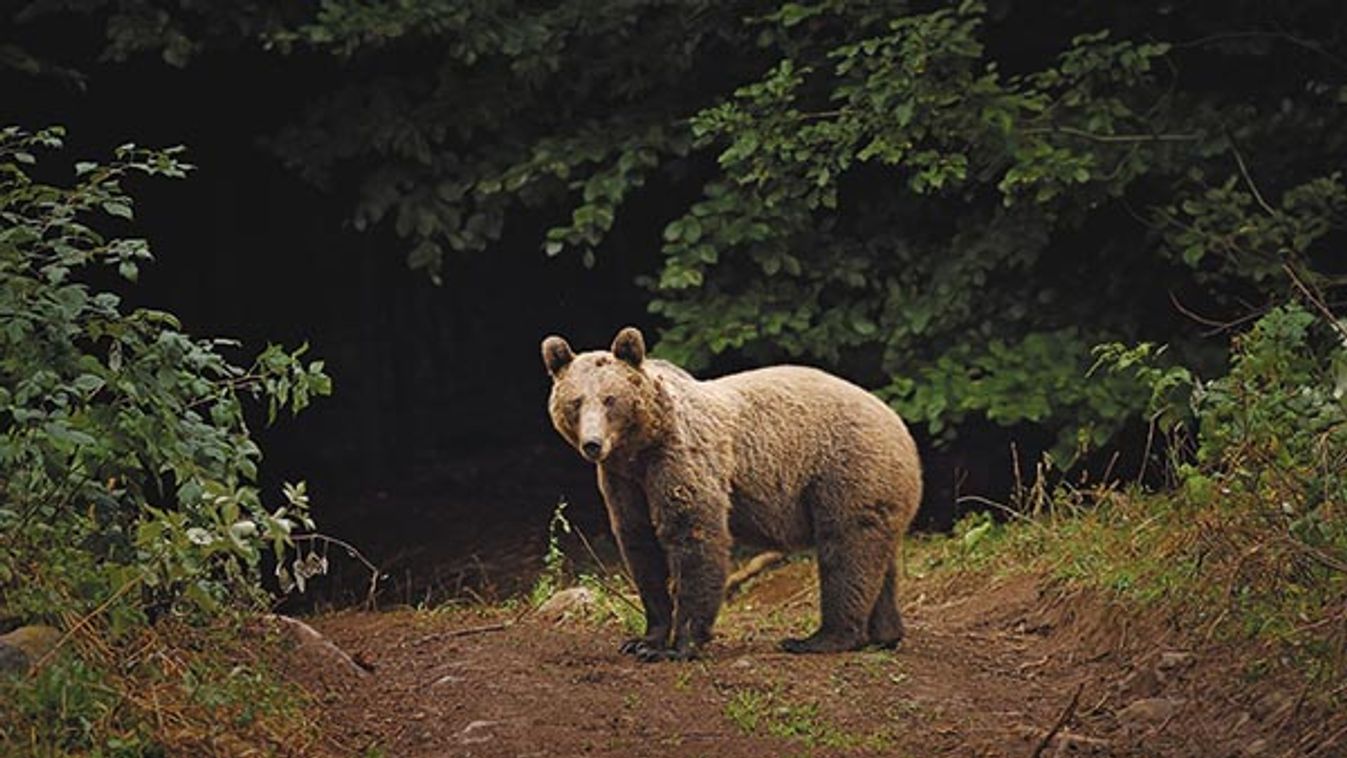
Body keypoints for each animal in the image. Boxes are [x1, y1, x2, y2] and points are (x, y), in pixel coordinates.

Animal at [541, 329, 921, 662]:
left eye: (610, 399)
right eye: (576, 401)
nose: (593, 444)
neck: (640, 446)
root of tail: (899, 425)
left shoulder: (680, 457)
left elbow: (694, 535)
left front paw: (678, 645)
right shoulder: (624, 480)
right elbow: (640, 544)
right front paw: (643, 640)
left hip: (846, 471)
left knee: (845, 551)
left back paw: (819, 638)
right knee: (876, 557)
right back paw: (885, 634)